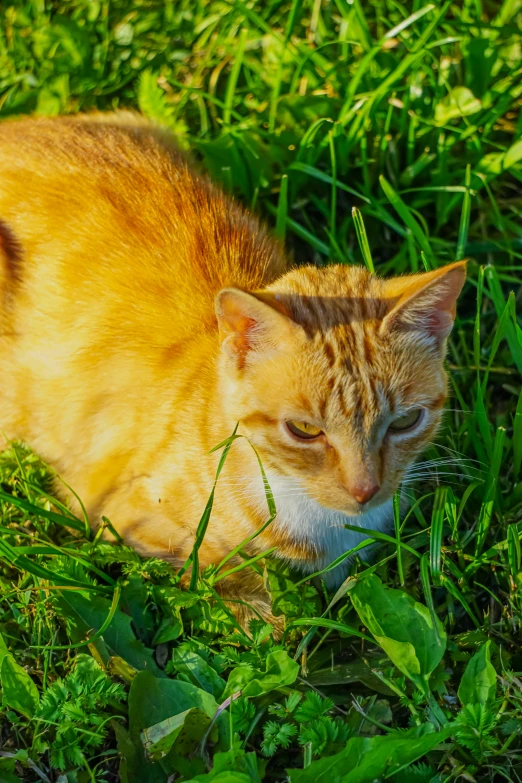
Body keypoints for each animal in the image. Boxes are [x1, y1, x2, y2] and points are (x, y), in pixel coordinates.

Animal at [0, 115, 464, 624]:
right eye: (304, 430)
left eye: (405, 421)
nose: (365, 491)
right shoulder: (118, 515)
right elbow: (230, 580)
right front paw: (266, 610)